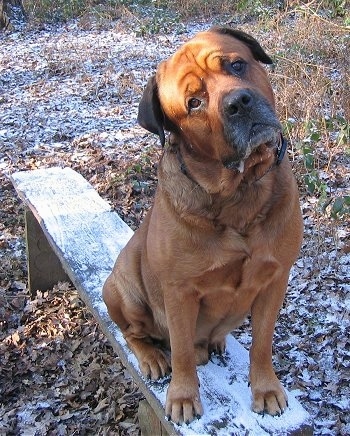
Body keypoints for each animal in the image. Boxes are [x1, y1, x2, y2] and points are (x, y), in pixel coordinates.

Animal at [102, 25, 304, 424]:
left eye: (237, 65)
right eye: (194, 102)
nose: (239, 102)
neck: (239, 193)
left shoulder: (275, 278)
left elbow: (262, 343)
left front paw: (265, 388)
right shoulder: (180, 291)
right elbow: (179, 351)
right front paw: (182, 396)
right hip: (121, 287)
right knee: (134, 332)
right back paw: (152, 357)